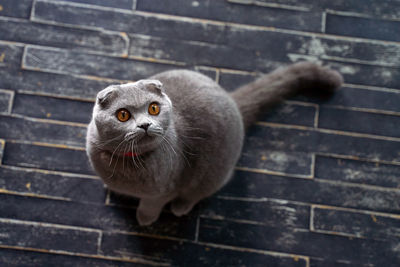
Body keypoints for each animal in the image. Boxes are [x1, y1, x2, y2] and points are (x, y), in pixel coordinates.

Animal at [86, 61, 342, 226]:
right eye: (123, 115)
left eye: (154, 108)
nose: (145, 125)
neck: (127, 162)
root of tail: (231, 99)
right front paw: (112, 188)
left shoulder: (166, 188)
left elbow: (150, 204)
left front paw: (144, 219)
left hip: (212, 173)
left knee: (200, 191)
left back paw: (180, 207)